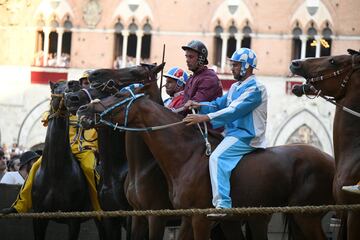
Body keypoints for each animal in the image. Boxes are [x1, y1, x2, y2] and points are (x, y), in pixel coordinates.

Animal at [77, 84, 336, 238]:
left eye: (118, 94)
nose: (82, 109)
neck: (186, 156)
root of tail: (330, 159)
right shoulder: (182, 217)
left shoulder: (195, 218)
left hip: (307, 215)